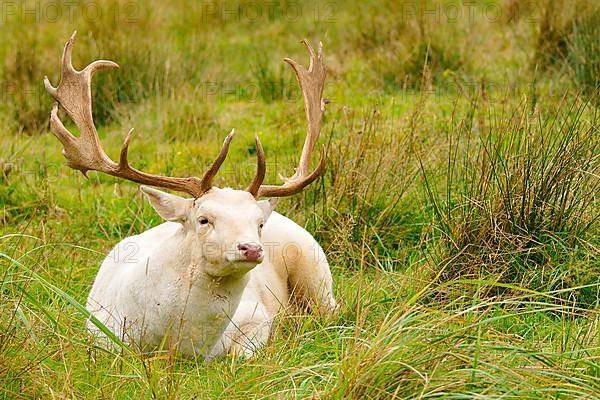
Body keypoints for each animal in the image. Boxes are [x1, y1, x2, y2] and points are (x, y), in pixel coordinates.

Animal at [45, 32, 338, 358]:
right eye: (203, 219)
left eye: (259, 223)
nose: (251, 248)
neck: (175, 342)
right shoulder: (98, 332)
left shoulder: (257, 316)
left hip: (316, 269)